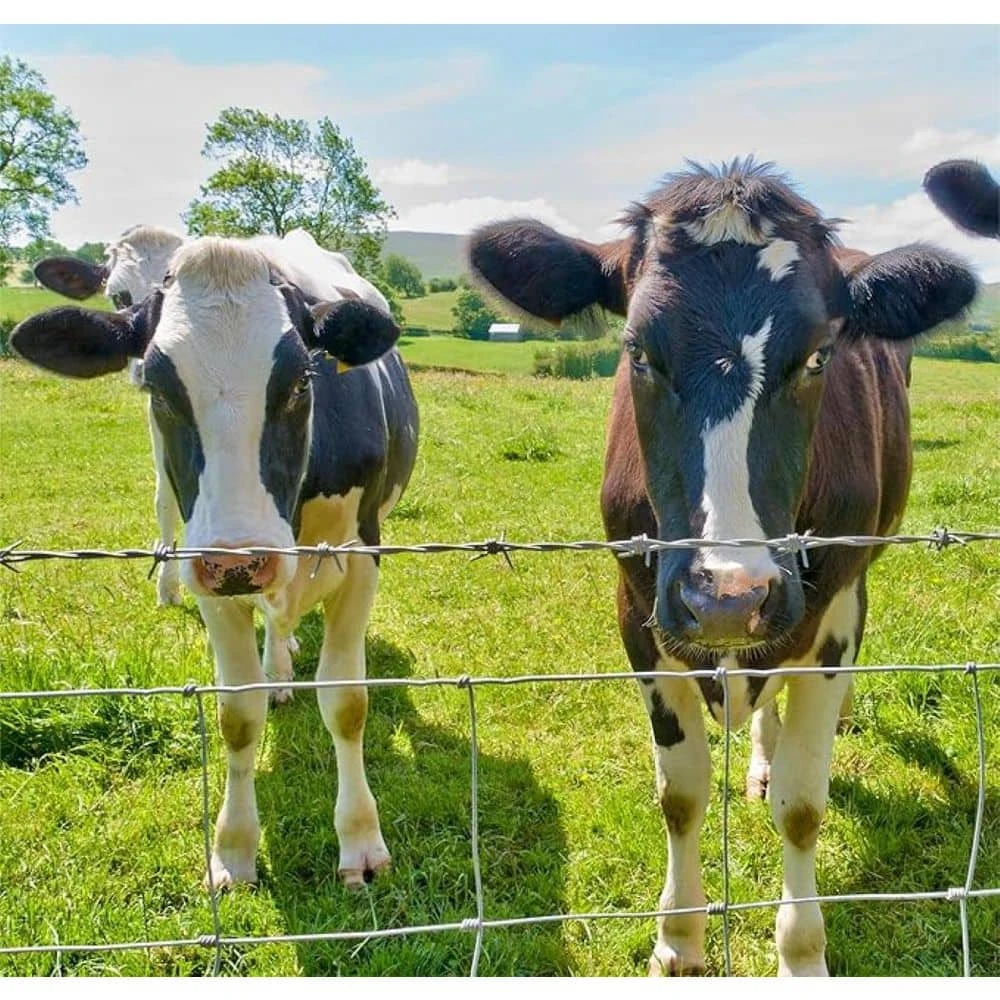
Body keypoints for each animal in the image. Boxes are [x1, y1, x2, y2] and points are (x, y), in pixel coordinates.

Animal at [12, 231, 419, 889]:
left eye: (301, 383)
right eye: (159, 389)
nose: (241, 559)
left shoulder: (361, 556)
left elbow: (347, 702)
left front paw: (359, 840)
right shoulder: (205, 571)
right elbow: (237, 714)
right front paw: (233, 848)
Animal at [468, 159, 977, 976]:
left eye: (819, 354)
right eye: (638, 351)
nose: (727, 597)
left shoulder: (829, 618)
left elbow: (803, 804)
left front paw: (801, 954)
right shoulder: (638, 609)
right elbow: (680, 794)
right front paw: (679, 939)